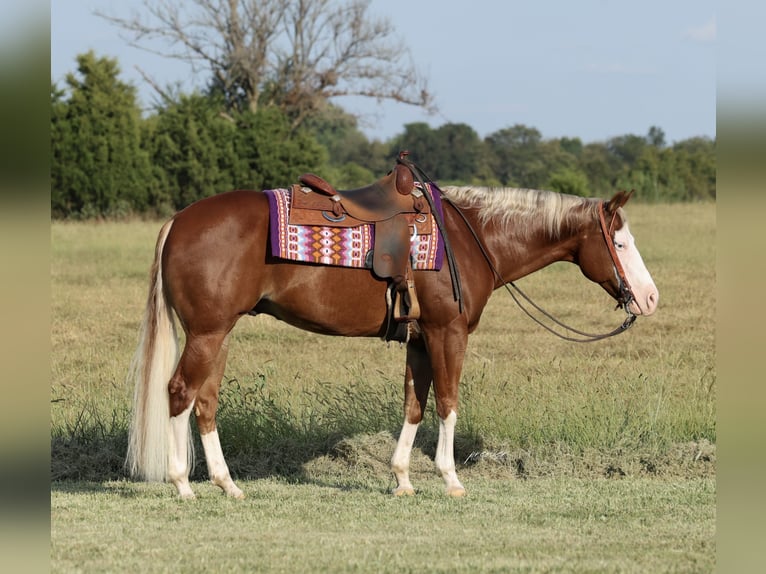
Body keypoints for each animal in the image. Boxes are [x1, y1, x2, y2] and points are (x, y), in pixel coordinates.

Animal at [125, 181, 658, 498]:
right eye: (621, 242)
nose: (650, 298)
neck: (471, 237)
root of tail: (178, 221)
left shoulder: (420, 340)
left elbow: (413, 406)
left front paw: (402, 478)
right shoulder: (448, 333)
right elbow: (448, 402)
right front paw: (450, 478)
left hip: (219, 334)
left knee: (205, 402)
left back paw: (227, 484)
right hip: (207, 333)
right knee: (179, 394)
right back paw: (183, 485)